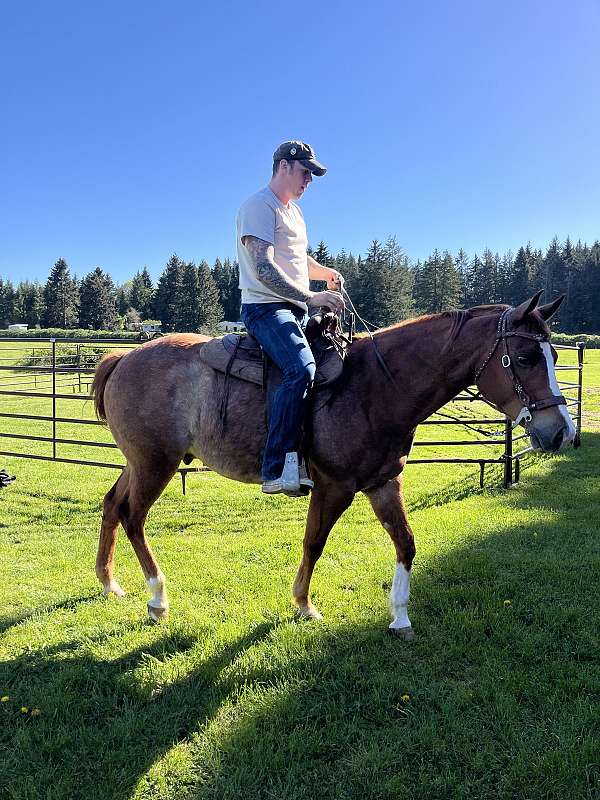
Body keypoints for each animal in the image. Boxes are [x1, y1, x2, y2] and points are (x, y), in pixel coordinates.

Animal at [90, 292, 576, 636]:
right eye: (527, 358)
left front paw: (400, 617)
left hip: (138, 462)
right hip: (156, 463)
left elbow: (406, 544)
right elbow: (314, 543)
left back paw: (109, 583)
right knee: (133, 516)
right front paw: (304, 605)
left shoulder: (383, 483)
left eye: (554, 356)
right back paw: (157, 600)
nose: (561, 431)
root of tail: (123, 357)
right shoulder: (334, 487)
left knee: (112, 504)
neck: (376, 387)